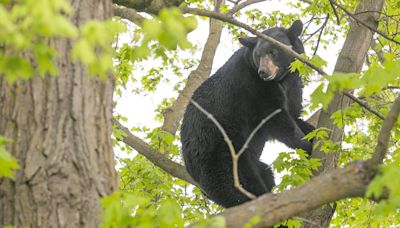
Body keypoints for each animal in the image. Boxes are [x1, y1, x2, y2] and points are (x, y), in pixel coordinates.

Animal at [180, 20, 314, 208]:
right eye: (258, 55)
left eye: (273, 52)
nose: (263, 72)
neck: (281, 79)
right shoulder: (255, 88)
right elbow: (278, 121)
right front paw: (307, 145)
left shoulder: (293, 83)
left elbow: (294, 113)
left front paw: (313, 130)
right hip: (220, 147)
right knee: (233, 181)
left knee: (265, 172)